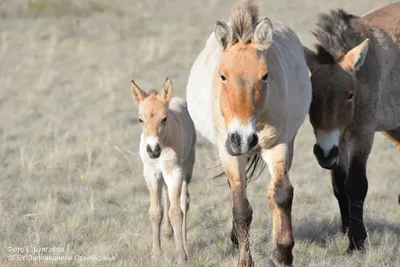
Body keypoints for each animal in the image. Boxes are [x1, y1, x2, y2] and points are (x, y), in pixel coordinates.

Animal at [130, 77, 196, 264]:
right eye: (140, 120)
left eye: (164, 118)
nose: (153, 150)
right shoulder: (151, 174)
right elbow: (155, 211)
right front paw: (156, 253)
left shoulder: (174, 172)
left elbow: (176, 212)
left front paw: (181, 255)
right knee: (166, 194)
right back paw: (167, 233)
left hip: (187, 169)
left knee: (184, 201)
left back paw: (184, 242)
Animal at [186, 0, 310, 266]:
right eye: (223, 76)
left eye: (264, 75)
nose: (243, 138)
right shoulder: (230, 153)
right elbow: (241, 209)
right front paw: (245, 259)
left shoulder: (278, 145)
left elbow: (282, 194)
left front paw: (282, 253)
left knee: (272, 192)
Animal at [304, 2, 400, 253]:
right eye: (312, 95)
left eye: (349, 95)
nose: (324, 153)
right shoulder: (339, 143)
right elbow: (340, 186)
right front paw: (345, 231)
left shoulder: (362, 136)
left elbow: (356, 185)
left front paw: (356, 241)